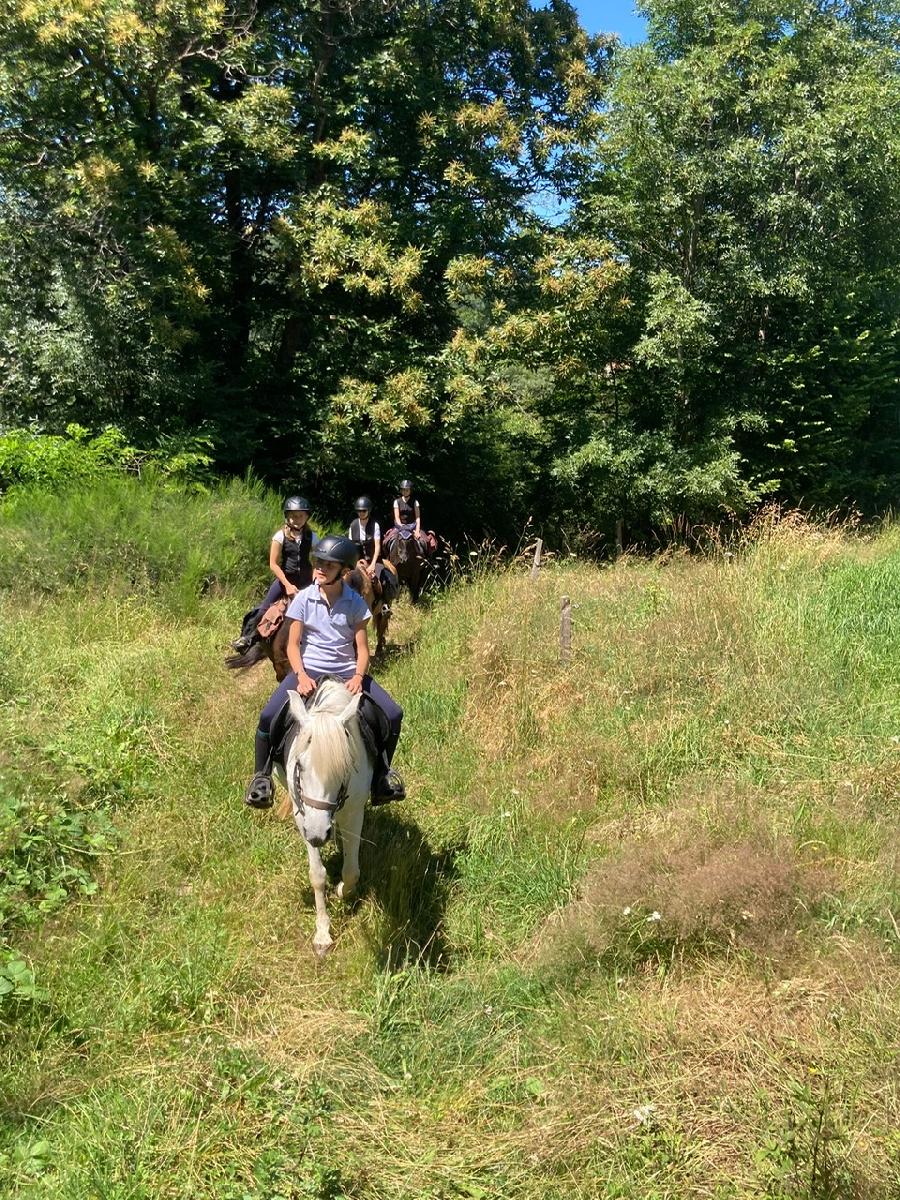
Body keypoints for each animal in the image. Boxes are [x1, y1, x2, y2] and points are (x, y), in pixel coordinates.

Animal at [274, 681, 374, 950]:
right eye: (300, 765)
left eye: (344, 768)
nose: (319, 835)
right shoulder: (304, 819)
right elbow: (317, 876)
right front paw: (322, 934)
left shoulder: (354, 812)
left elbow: (352, 871)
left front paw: (341, 891)